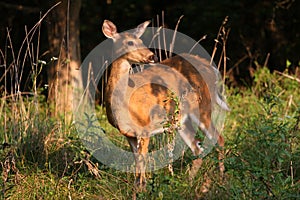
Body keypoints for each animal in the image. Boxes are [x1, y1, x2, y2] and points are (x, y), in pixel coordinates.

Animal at [102, 19, 229, 191]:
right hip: (181, 120)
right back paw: (188, 183)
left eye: (141, 41)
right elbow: (137, 163)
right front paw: (137, 190)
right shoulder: (128, 134)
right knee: (197, 148)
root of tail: (212, 68)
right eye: (130, 42)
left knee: (218, 138)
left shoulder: (145, 128)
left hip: (203, 107)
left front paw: (142, 190)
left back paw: (221, 179)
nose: (152, 56)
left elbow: (142, 162)